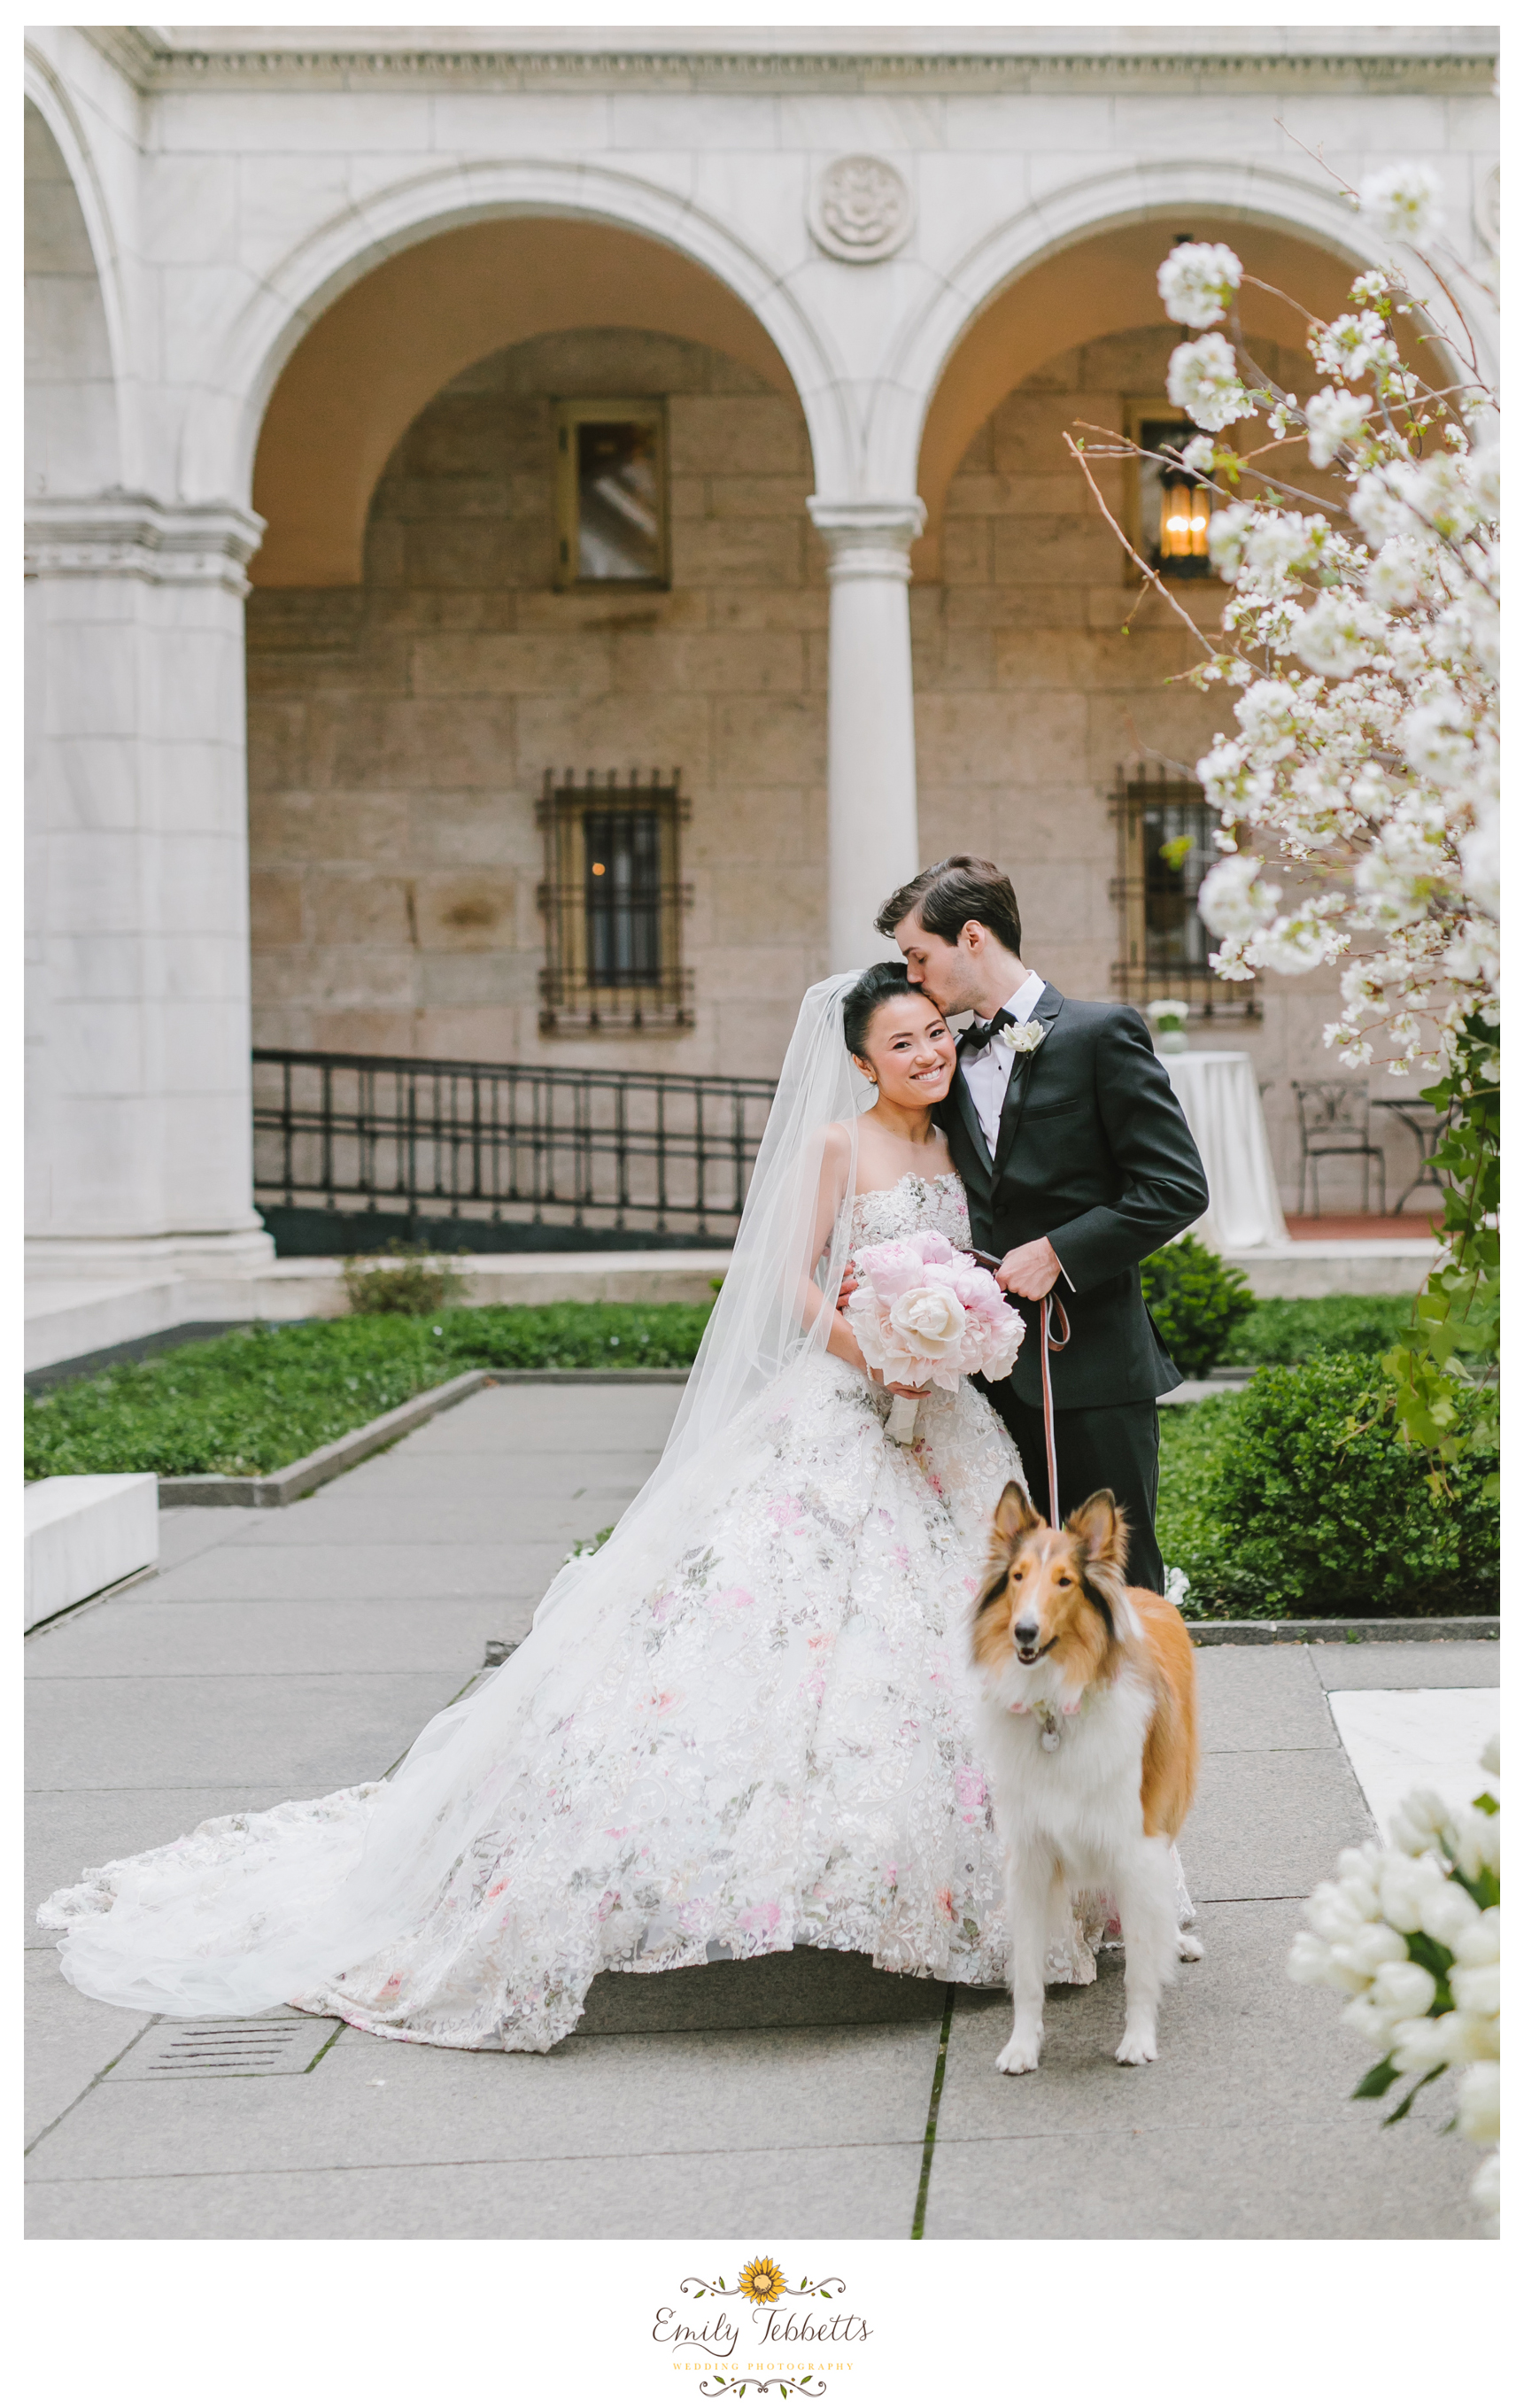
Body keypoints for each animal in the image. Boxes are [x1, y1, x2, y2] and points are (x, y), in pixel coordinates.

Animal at [972, 1483, 1198, 2071]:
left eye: (1064, 1582)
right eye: (1017, 1577)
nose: (1024, 1631)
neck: (1056, 1703)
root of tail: (1142, 1593)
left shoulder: (1135, 1844)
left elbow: (1140, 1967)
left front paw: (1138, 2040)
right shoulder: (1030, 1857)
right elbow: (1028, 1973)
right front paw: (1022, 2046)